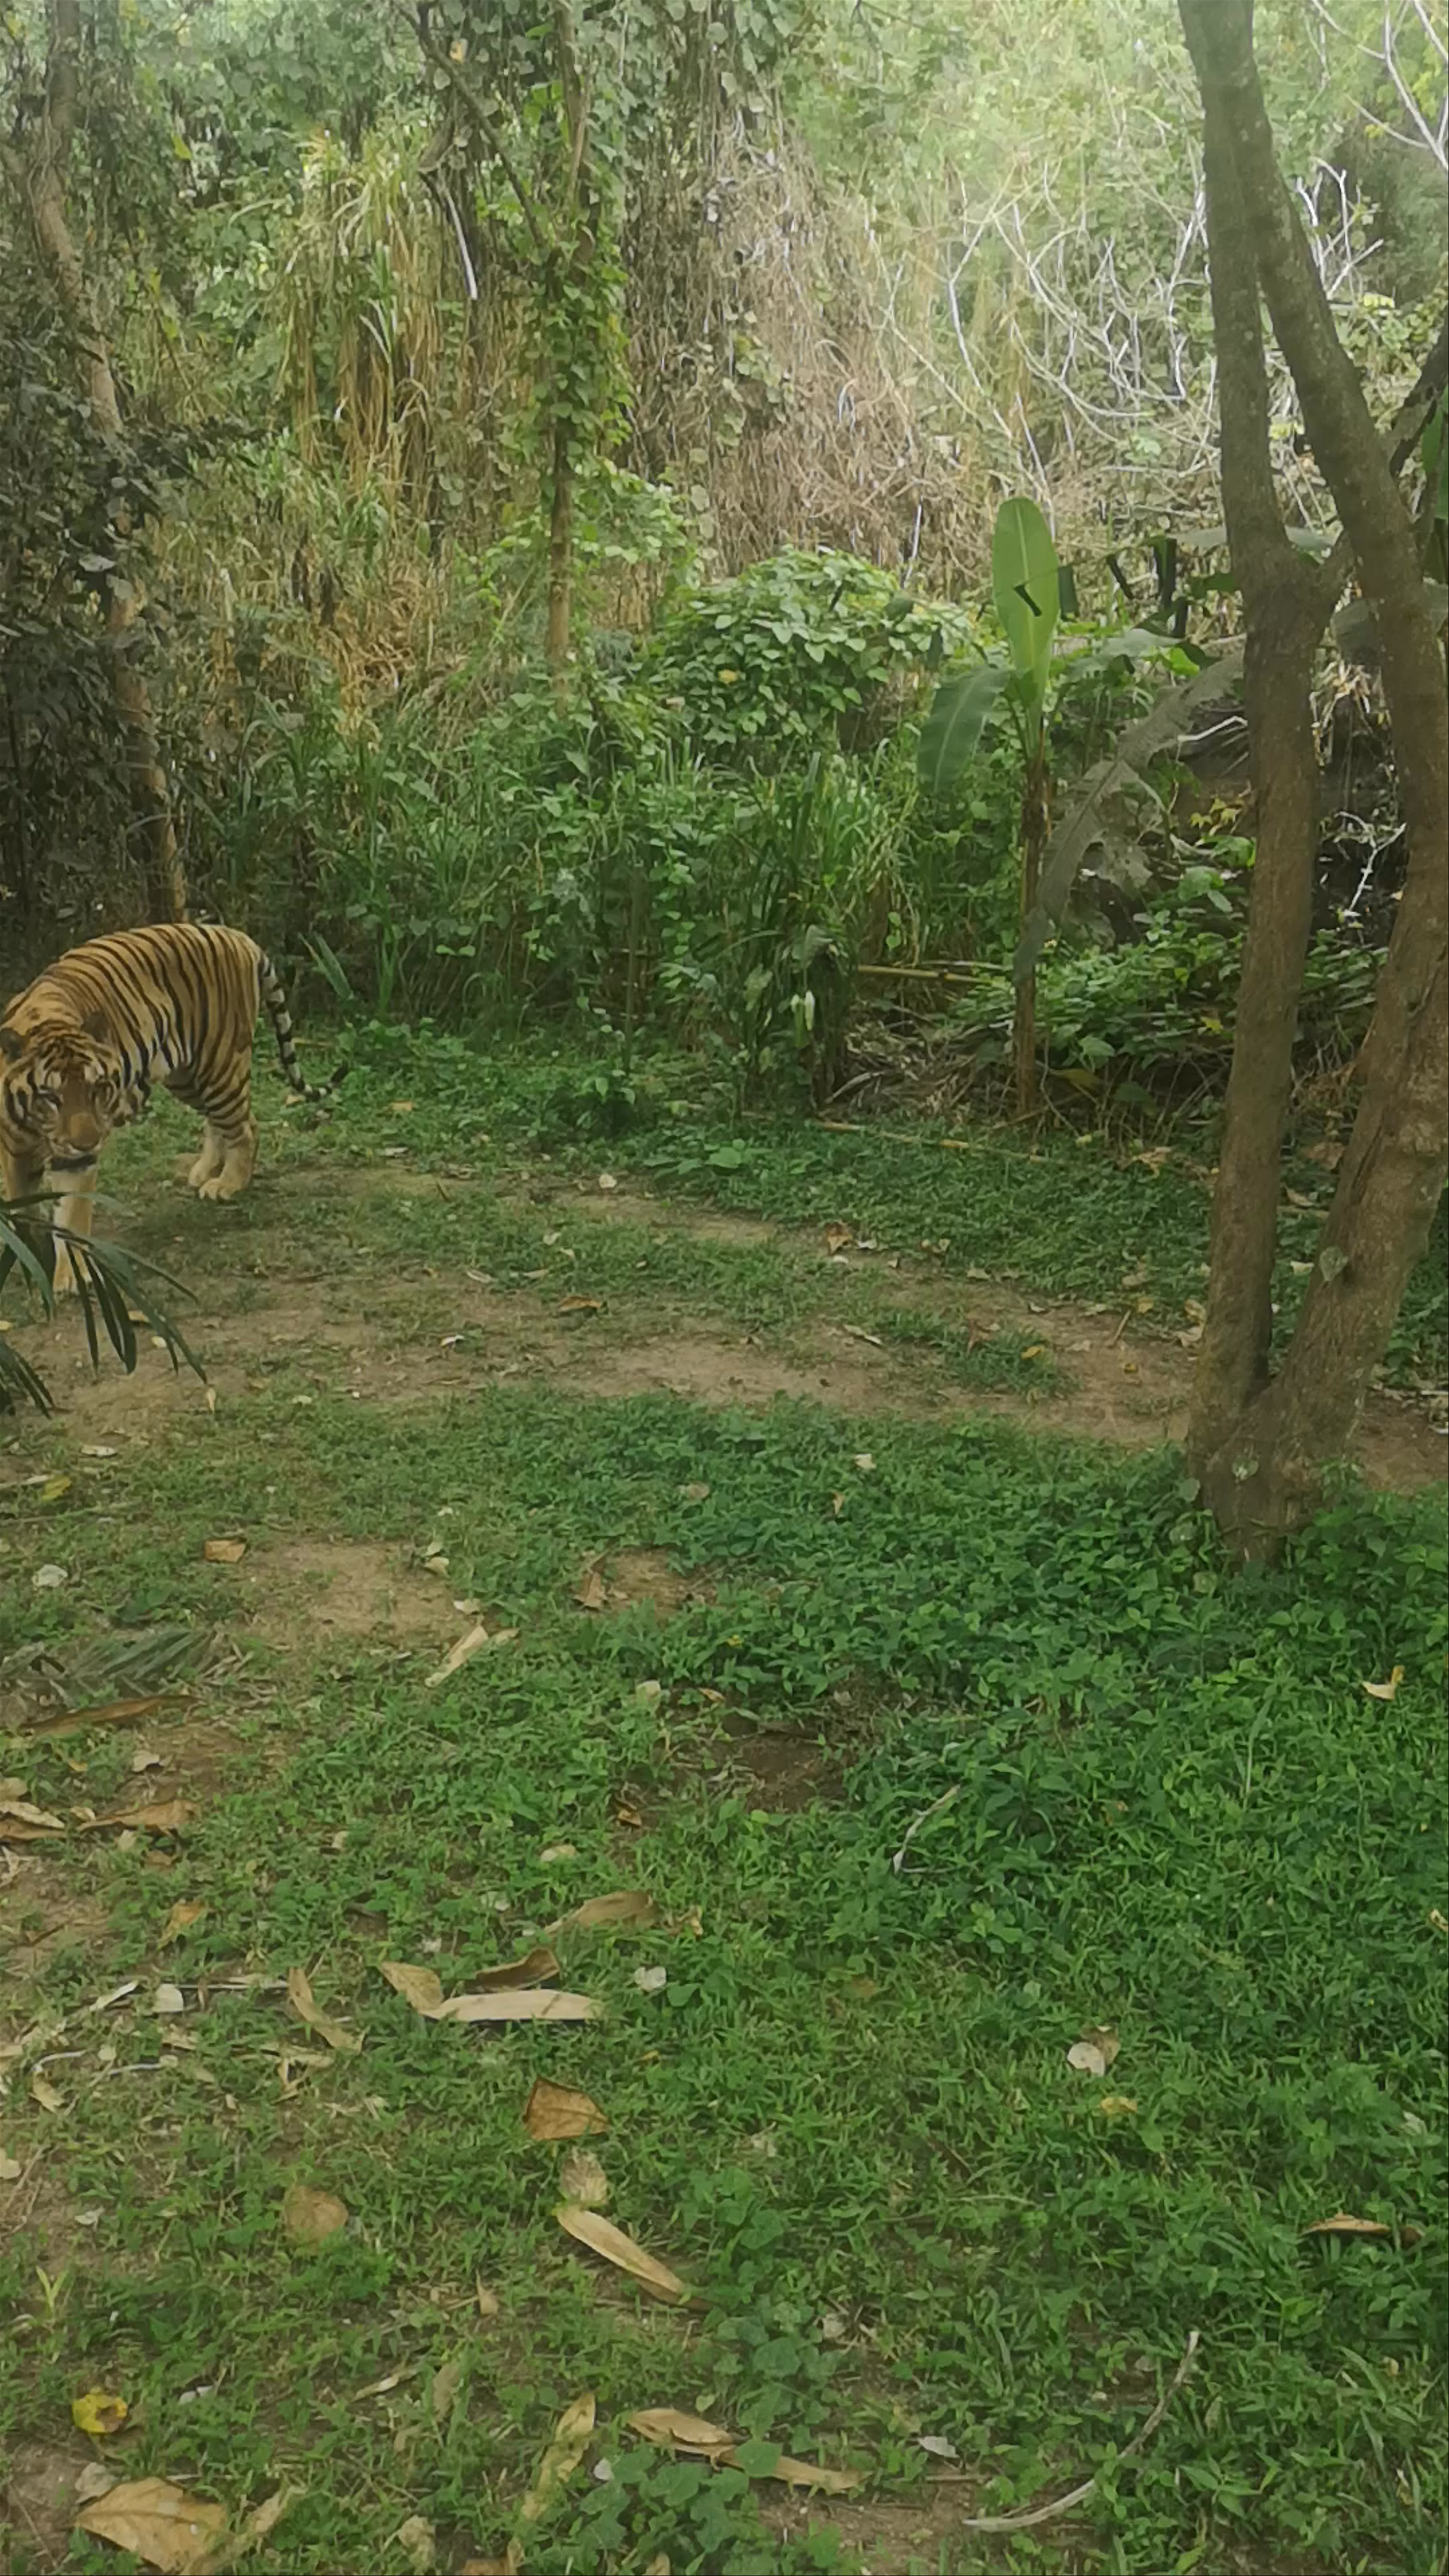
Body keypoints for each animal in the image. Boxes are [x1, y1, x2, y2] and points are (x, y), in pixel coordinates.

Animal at [0, 922, 340, 1293]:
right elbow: (19, 1205)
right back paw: (205, 1171)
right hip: (188, 1077)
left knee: (246, 1128)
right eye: (51, 1096)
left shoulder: (75, 1160)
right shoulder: (13, 1150)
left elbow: (72, 1213)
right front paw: (26, 1254)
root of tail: (236, 935)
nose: (90, 1142)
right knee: (221, 1122)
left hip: (219, 1065)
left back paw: (227, 1184)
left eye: (98, 1090)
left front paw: (73, 1275)